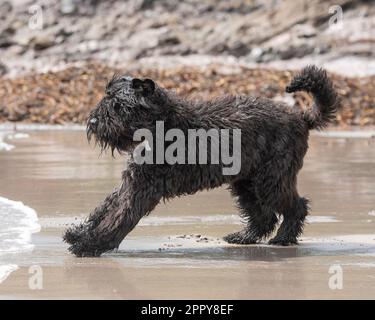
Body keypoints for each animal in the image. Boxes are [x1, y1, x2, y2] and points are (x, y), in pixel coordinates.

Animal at [63, 65, 340, 258]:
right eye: (106, 99)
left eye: (119, 105)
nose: (93, 122)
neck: (160, 126)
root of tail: (302, 118)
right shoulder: (131, 182)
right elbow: (104, 208)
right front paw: (79, 233)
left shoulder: (142, 189)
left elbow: (117, 218)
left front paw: (89, 244)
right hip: (246, 183)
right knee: (263, 216)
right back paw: (243, 237)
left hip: (271, 180)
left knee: (296, 207)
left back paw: (283, 238)